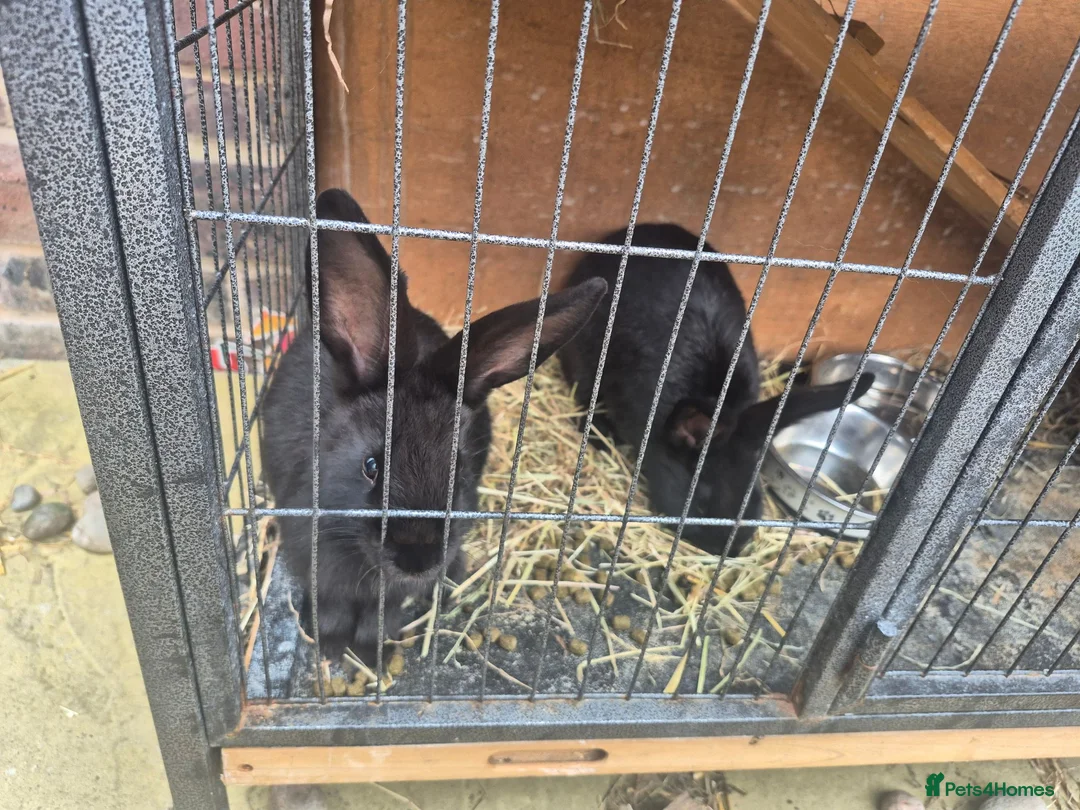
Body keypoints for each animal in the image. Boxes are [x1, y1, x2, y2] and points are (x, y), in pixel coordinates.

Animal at [261, 188, 607, 662]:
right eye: (371, 466)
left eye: (457, 469)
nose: (418, 559)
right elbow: (331, 603)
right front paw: (331, 646)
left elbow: (382, 612)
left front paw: (370, 650)